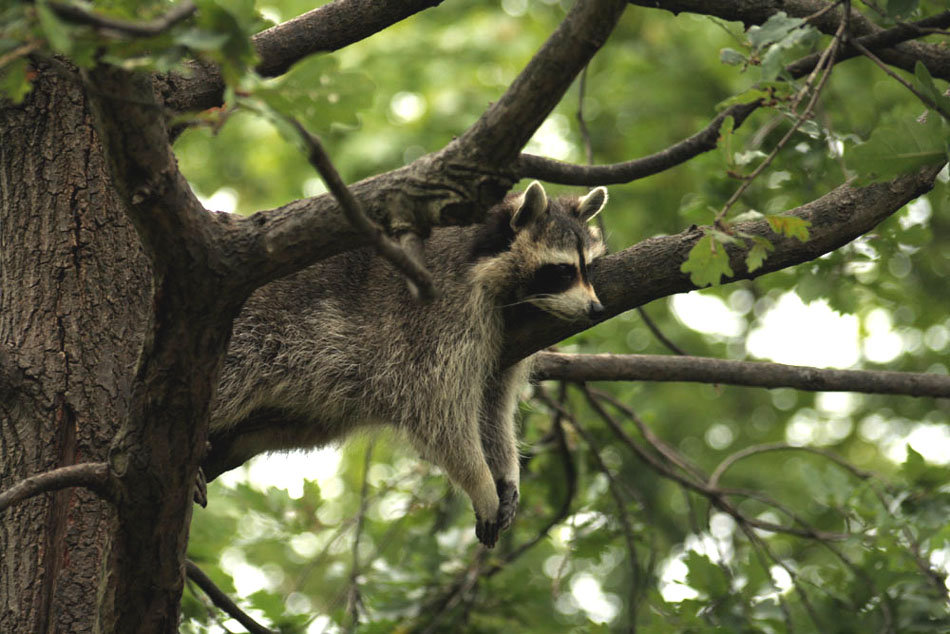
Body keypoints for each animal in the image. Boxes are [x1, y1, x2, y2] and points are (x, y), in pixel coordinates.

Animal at [206, 180, 608, 544]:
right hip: (249, 334)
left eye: (588, 268)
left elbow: (493, 405)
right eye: (562, 271)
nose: (596, 309)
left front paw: (505, 469)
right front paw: (480, 482)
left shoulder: (510, 337)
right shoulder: (436, 316)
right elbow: (438, 413)